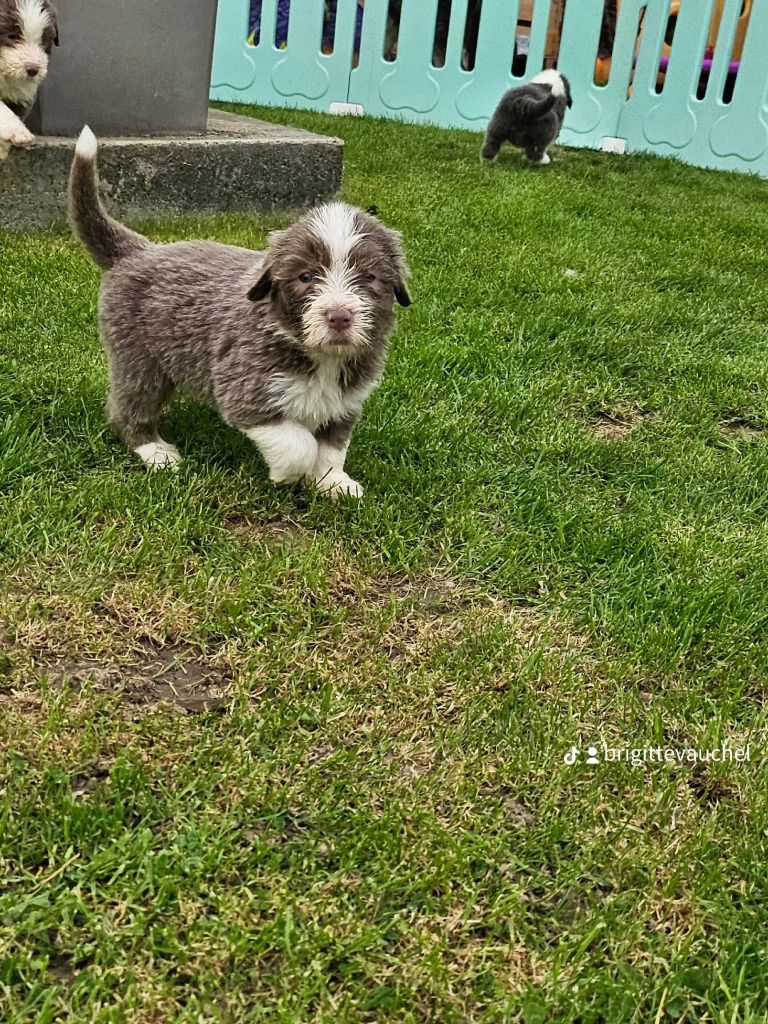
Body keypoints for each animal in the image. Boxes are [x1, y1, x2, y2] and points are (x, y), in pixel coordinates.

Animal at [69, 125, 411, 501]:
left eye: (370, 277)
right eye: (305, 277)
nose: (339, 316)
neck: (321, 357)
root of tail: (137, 250)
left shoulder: (344, 402)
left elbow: (332, 448)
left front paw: (333, 483)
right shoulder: (246, 390)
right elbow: (298, 444)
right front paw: (288, 475)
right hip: (138, 357)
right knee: (128, 406)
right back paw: (155, 451)